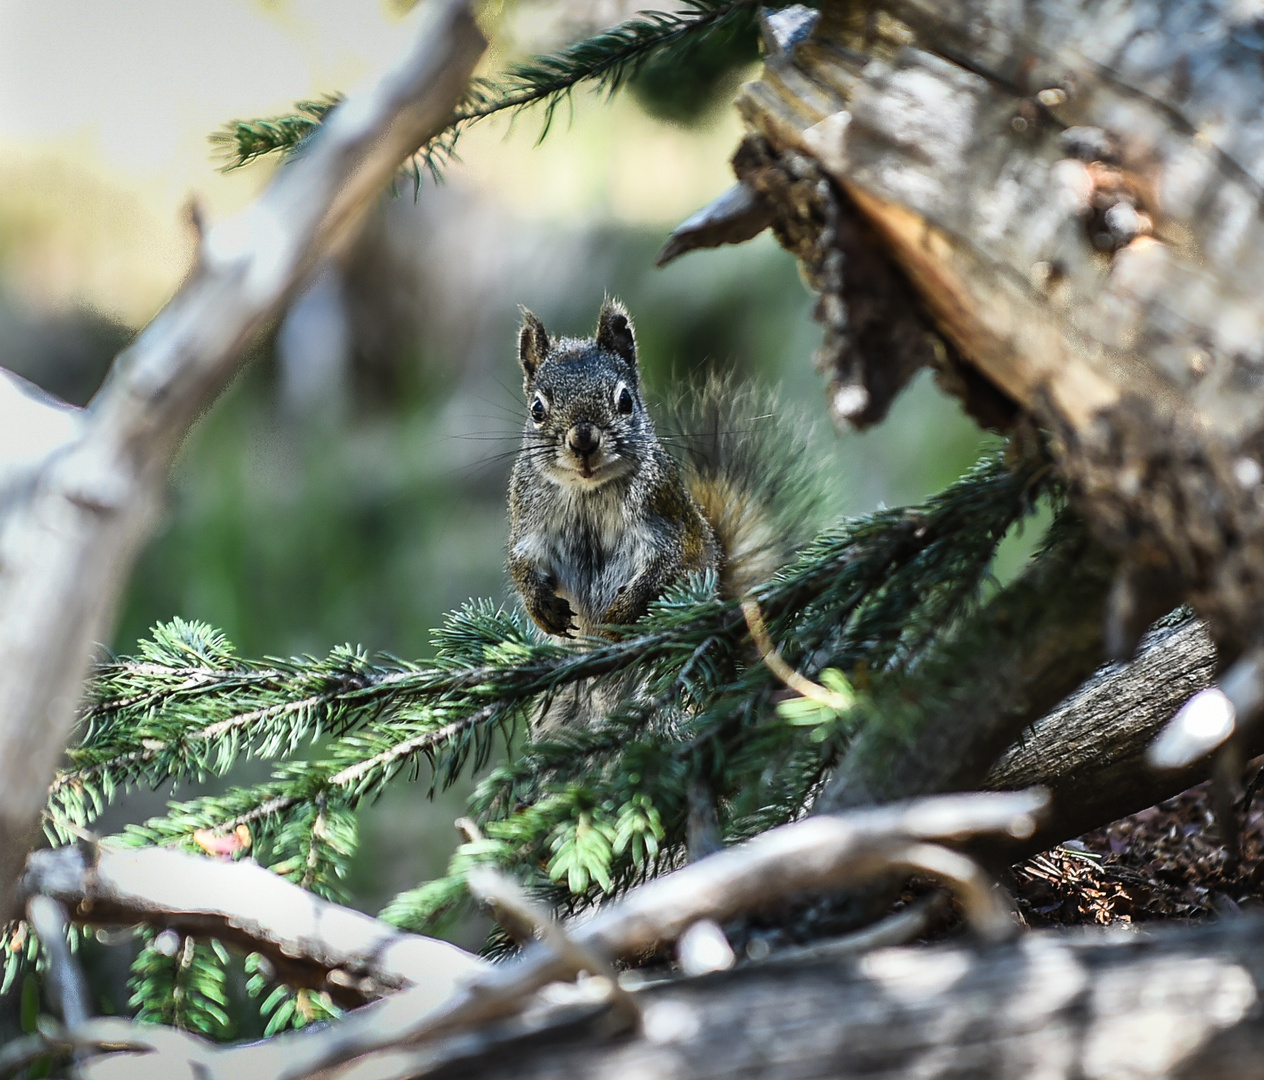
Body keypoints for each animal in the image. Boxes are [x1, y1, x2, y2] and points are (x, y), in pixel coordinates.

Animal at [510, 298, 819, 642]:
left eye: (625, 400)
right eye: (537, 409)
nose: (583, 440)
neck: (589, 492)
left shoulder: (664, 514)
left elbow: (665, 567)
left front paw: (621, 614)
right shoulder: (528, 521)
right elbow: (521, 561)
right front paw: (539, 604)